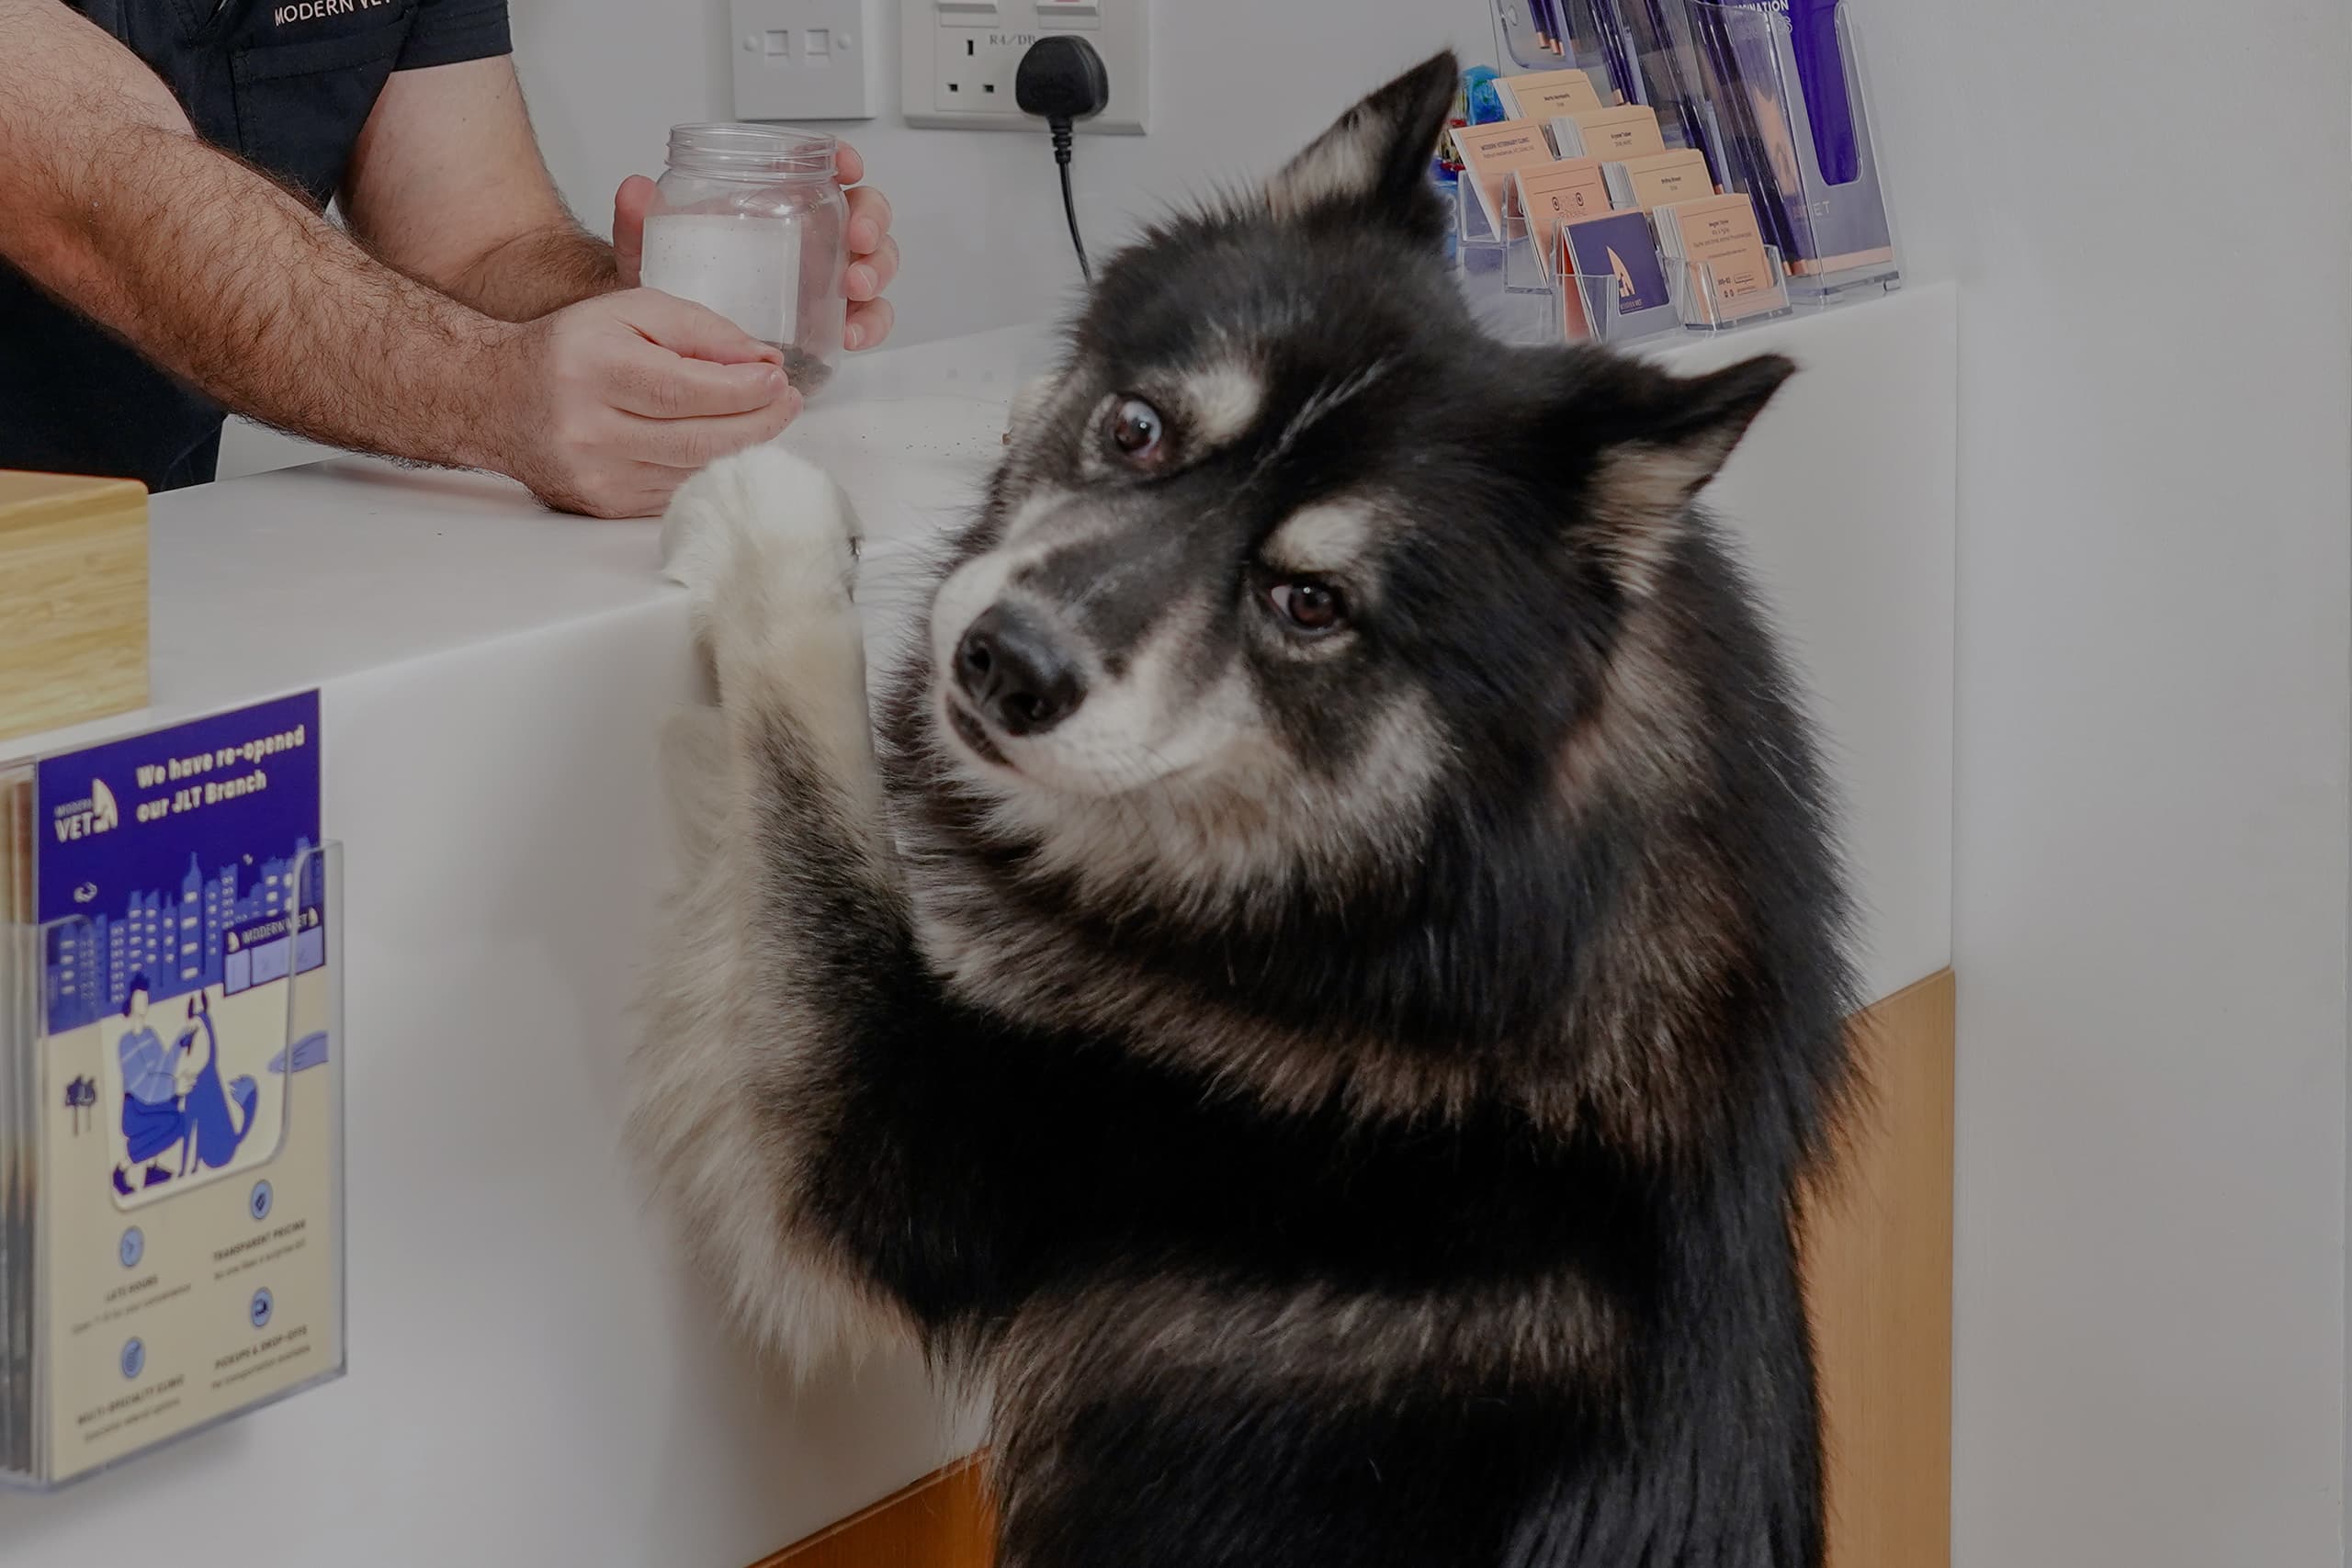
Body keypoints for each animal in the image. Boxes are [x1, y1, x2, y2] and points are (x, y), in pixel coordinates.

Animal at [639, 49, 1853, 1568]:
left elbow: (817, 792)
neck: (1448, 867)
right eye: (1138, 428)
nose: (1004, 662)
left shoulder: (887, 1141)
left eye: (1309, 602)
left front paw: (767, 518)